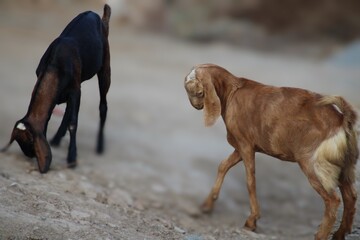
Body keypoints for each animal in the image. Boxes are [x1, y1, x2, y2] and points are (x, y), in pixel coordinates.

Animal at [1, 3, 111, 172]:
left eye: (31, 146)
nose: (32, 157)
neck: (54, 65)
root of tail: (100, 17)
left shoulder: (75, 91)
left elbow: (73, 122)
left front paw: (72, 159)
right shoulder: (67, 91)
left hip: (105, 66)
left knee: (103, 106)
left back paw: (99, 146)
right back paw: (57, 139)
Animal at [184, 63, 358, 240]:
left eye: (197, 90)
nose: (197, 105)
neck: (232, 92)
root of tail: (342, 120)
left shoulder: (245, 145)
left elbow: (250, 181)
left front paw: (251, 222)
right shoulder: (241, 147)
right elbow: (223, 165)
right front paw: (206, 206)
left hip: (313, 164)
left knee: (333, 199)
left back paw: (321, 235)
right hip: (344, 166)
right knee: (350, 196)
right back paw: (340, 233)